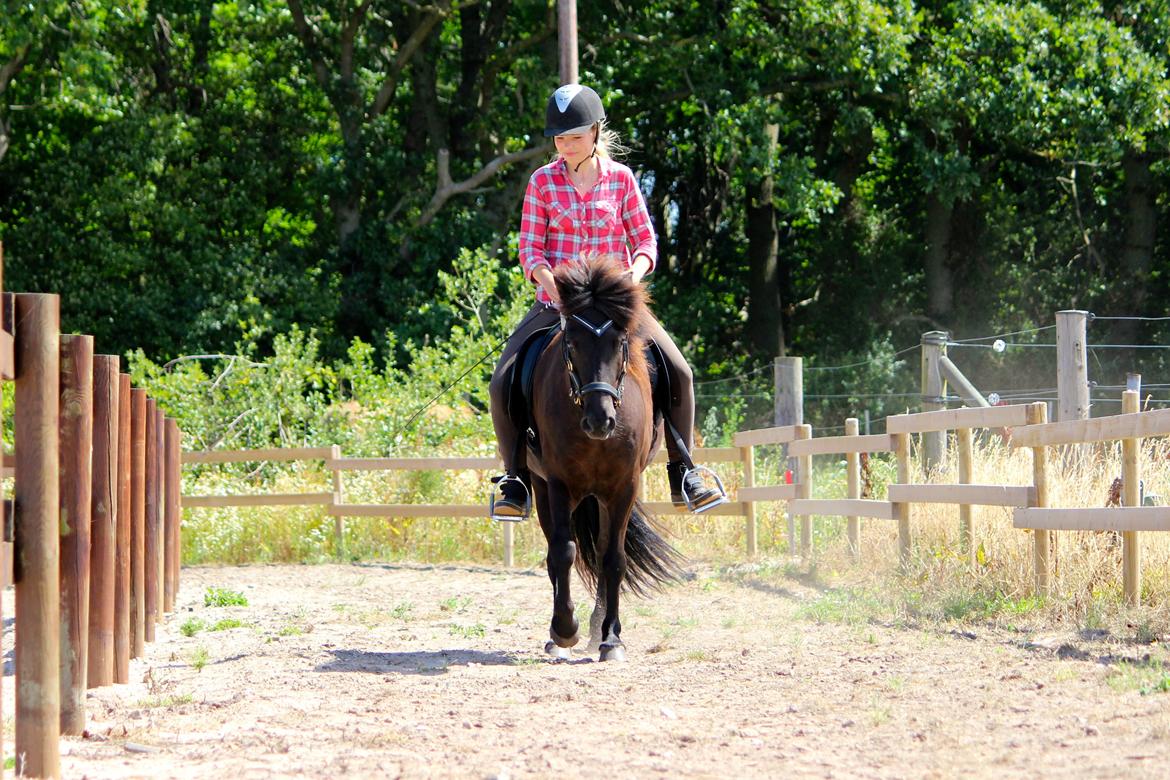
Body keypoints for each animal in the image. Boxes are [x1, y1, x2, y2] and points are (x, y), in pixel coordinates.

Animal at [528, 259, 683, 664]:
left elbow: (612, 558)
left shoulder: (623, 486)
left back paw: (598, 629)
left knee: (599, 551)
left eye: (620, 342)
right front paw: (564, 630)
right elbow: (562, 552)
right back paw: (558, 636)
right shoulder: (558, 483)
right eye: (571, 343)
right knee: (555, 551)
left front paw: (611, 639)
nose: (601, 421)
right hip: (540, 485)